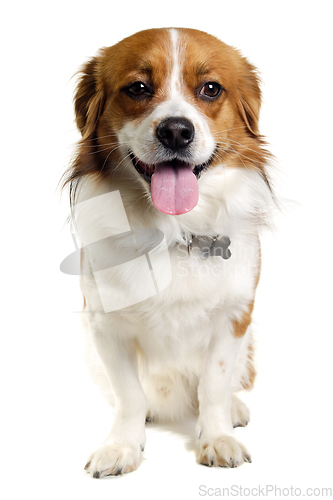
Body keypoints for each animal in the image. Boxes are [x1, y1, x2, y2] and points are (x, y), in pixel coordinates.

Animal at [62, 26, 272, 476]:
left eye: (210, 89)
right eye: (138, 88)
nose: (176, 130)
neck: (173, 232)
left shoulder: (233, 319)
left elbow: (214, 385)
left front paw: (217, 437)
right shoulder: (106, 327)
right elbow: (128, 394)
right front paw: (122, 445)